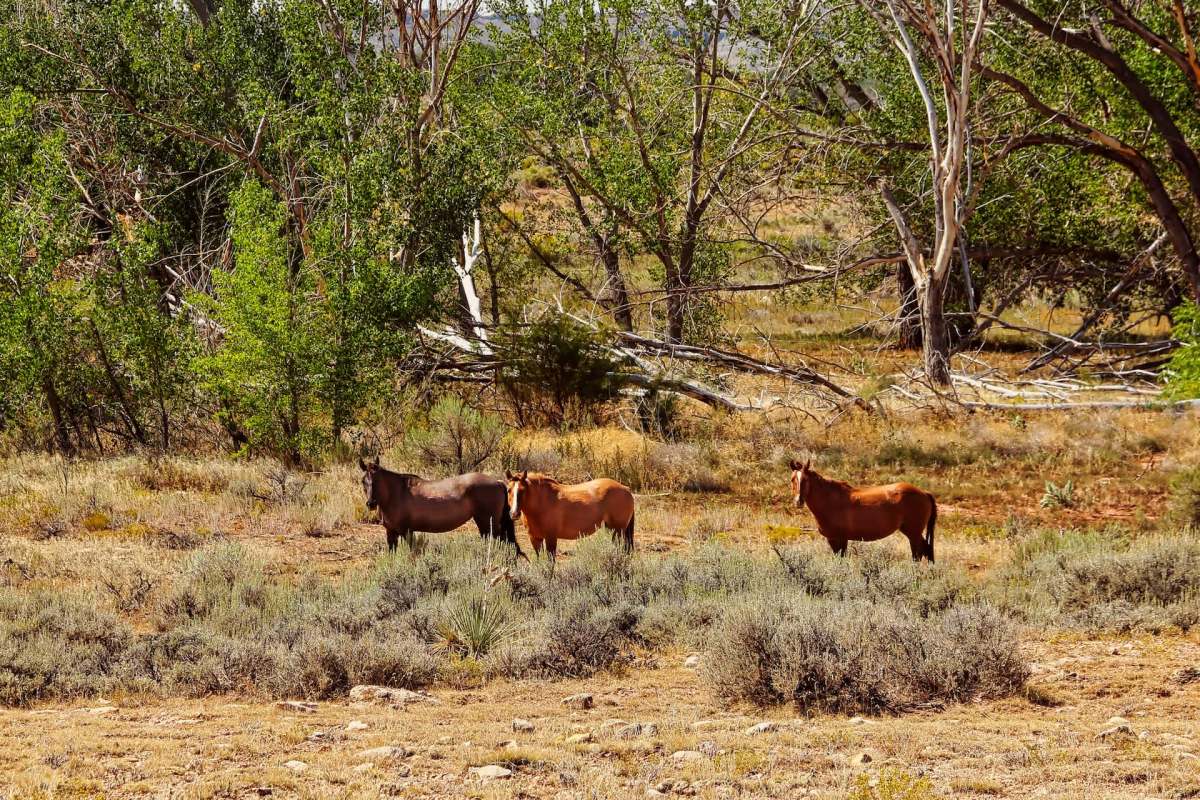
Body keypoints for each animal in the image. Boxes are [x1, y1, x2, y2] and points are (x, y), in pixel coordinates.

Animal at [359, 457, 524, 557]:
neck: (396, 493)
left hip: (488, 524)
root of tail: (498, 482)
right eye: (363, 481)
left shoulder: (406, 531)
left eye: (378, 480)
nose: (371, 503)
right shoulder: (390, 532)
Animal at [504, 470, 635, 558]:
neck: (543, 501)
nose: (514, 513)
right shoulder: (535, 539)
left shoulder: (551, 538)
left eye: (523, 491)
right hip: (611, 529)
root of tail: (626, 488)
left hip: (618, 531)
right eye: (508, 490)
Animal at [788, 458, 936, 562]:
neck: (831, 500)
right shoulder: (834, 540)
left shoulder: (839, 539)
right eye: (792, 479)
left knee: (919, 555)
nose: (798, 501)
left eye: (806, 480)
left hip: (913, 534)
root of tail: (924, 493)